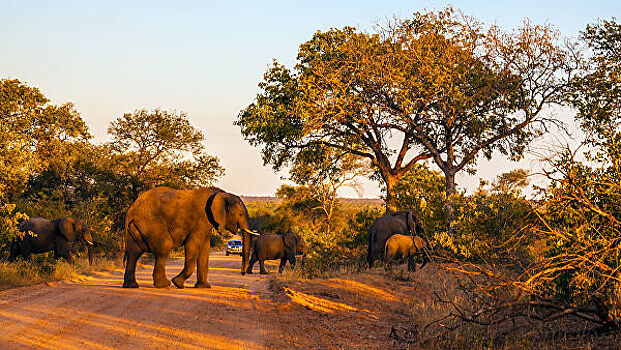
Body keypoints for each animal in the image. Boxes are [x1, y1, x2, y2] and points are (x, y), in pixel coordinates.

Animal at [122, 187, 258, 288]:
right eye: (240, 214)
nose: (243, 273)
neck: (221, 194)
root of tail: (131, 211)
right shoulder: (202, 218)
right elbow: (192, 246)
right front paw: (178, 283)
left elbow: (205, 250)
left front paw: (204, 287)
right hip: (151, 222)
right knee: (163, 247)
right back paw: (164, 285)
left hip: (138, 227)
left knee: (134, 252)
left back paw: (131, 286)